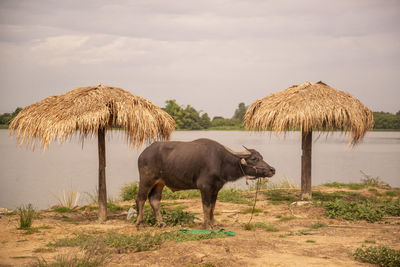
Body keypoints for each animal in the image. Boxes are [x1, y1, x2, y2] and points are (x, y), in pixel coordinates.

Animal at [136, 139, 274, 229]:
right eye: (254, 159)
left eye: (261, 157)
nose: (272, 170)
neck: (221, 161)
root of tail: (142, 154)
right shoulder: (205, 188)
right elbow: (206, 207)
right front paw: (207, 226)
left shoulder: (215, 189)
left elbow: (212, 207)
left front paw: (213, 224)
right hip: (146, 180)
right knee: (140, 199)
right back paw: (140, 224)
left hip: (159, 183)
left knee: (154, 200)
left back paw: (161, 223)